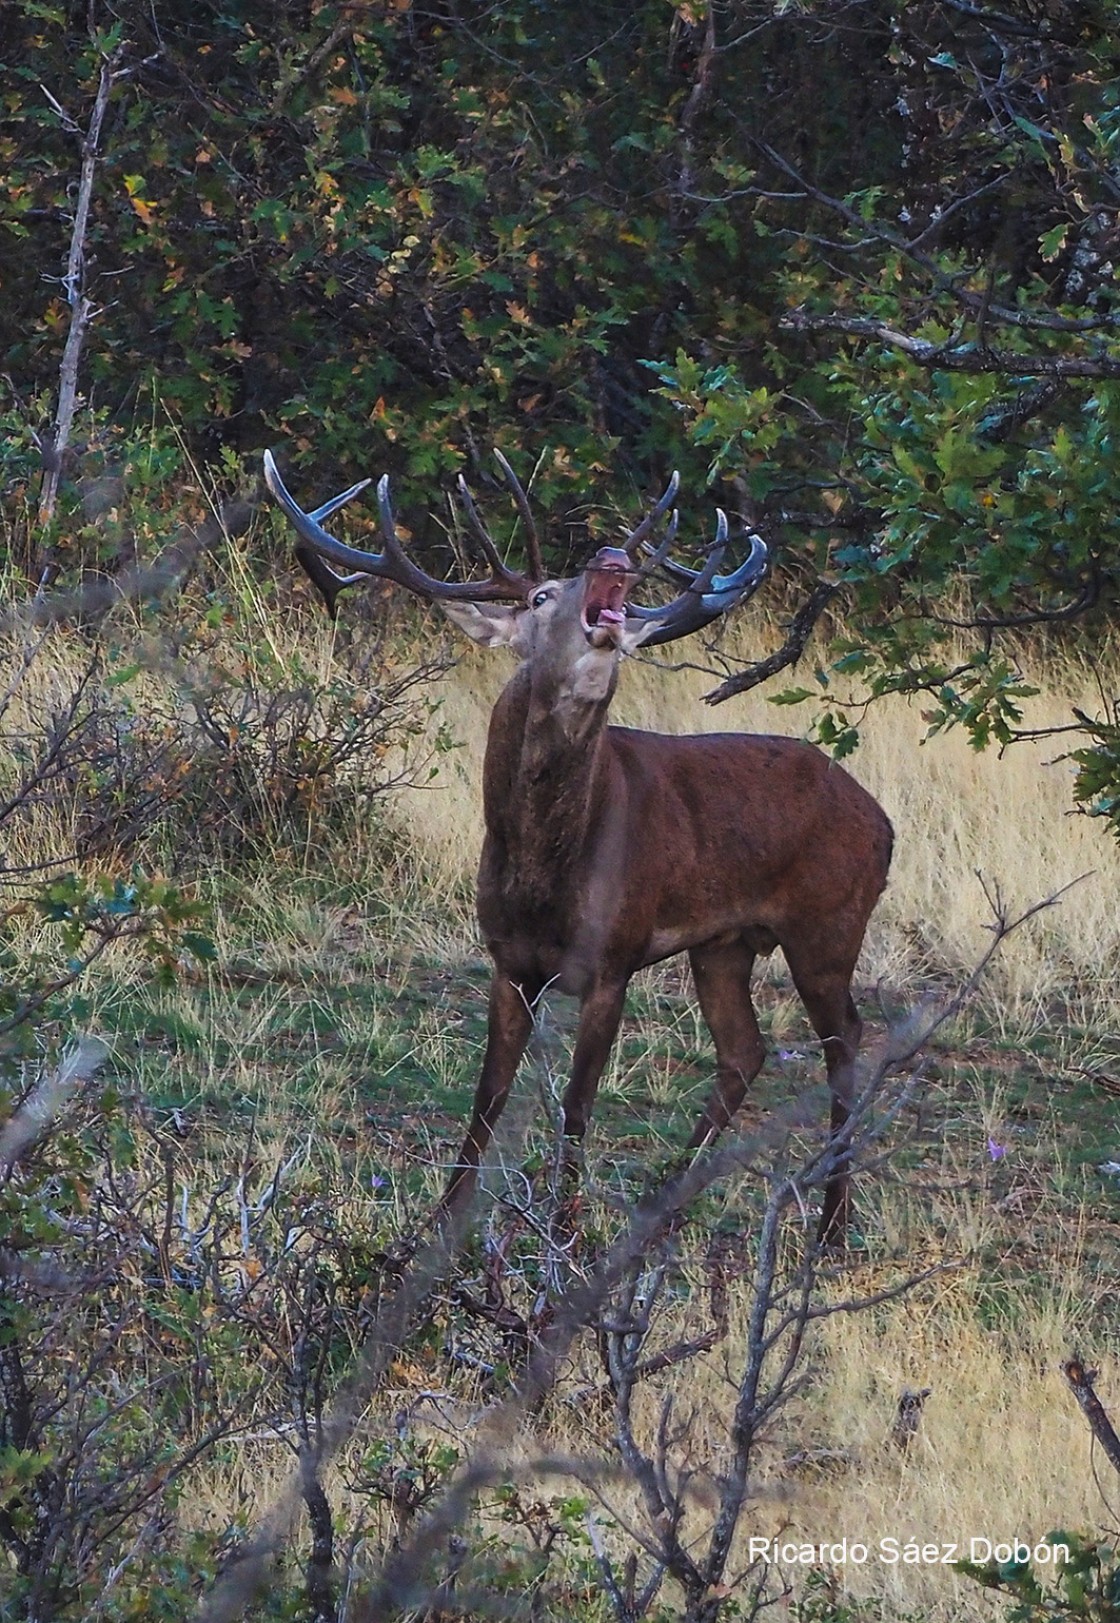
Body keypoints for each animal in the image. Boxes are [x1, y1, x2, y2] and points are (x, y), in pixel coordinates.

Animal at [261, 447, 889, 1239]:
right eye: (540, 596)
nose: (613, 559)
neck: (542, 872)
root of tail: (884, 823)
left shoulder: (613, 957)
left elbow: (577, 1104)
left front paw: (562, 1232)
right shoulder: (508, 958)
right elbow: (487, 1096)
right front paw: (438, 1225)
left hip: (828, 925)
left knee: (847, 1045)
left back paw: (831, 1224)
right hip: (725, 942)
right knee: (743, 1049)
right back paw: (662, 1201)